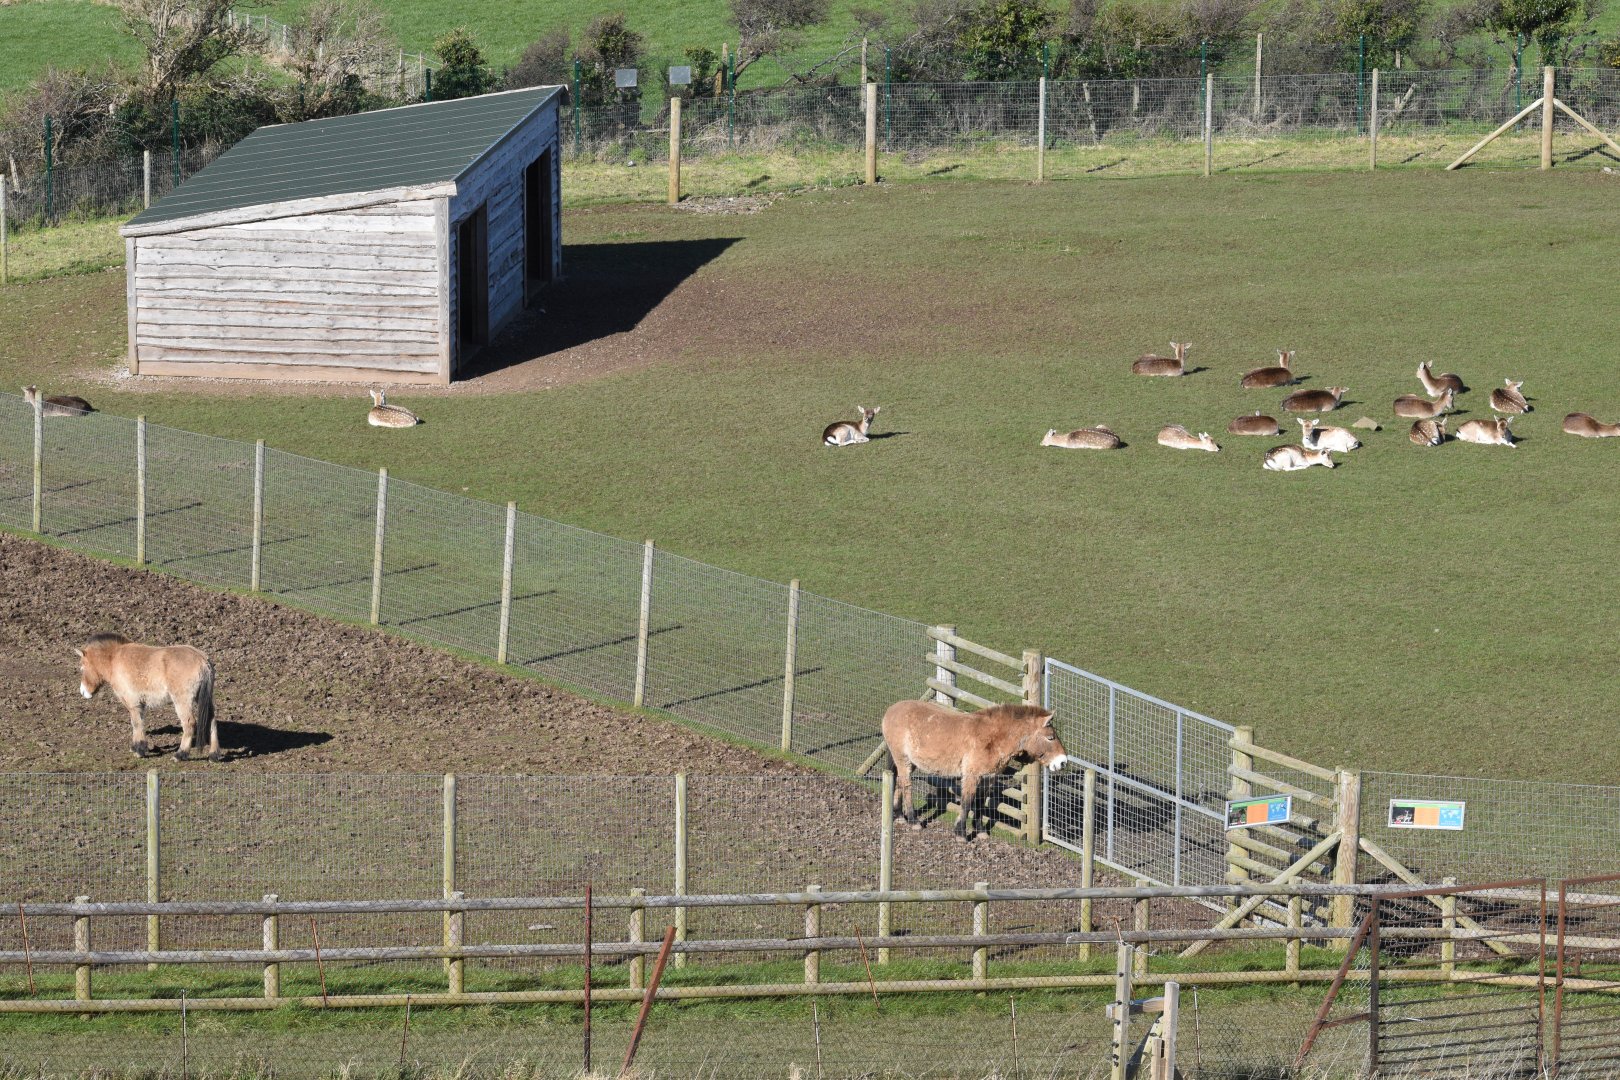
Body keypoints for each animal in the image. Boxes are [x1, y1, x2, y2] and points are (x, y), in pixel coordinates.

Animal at [75, 633, 219, 761]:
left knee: (189, 723)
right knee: (212, 721)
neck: (114, 659)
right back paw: (214, 755)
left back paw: (180, 755)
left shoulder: (133, 703)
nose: (82, 692)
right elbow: (139, 723)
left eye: (82, 668)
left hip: (182, 701)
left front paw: (140, 750)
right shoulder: (139, 705)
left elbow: (136, 723)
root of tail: (203, 661)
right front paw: (135, 747)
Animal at [881, 700, 1069, 841]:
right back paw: (913, 821)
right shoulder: (971, 776)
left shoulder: (988, 778)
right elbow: (967, 802)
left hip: (908, 762)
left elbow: (979, 802)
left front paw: (980, 831)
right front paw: (961, 834)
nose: (1062, 762)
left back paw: (899, 815)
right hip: (903, 760)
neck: (992, 738)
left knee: (899, 783)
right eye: (1050, 737)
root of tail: (891, 710)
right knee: (906, 786)